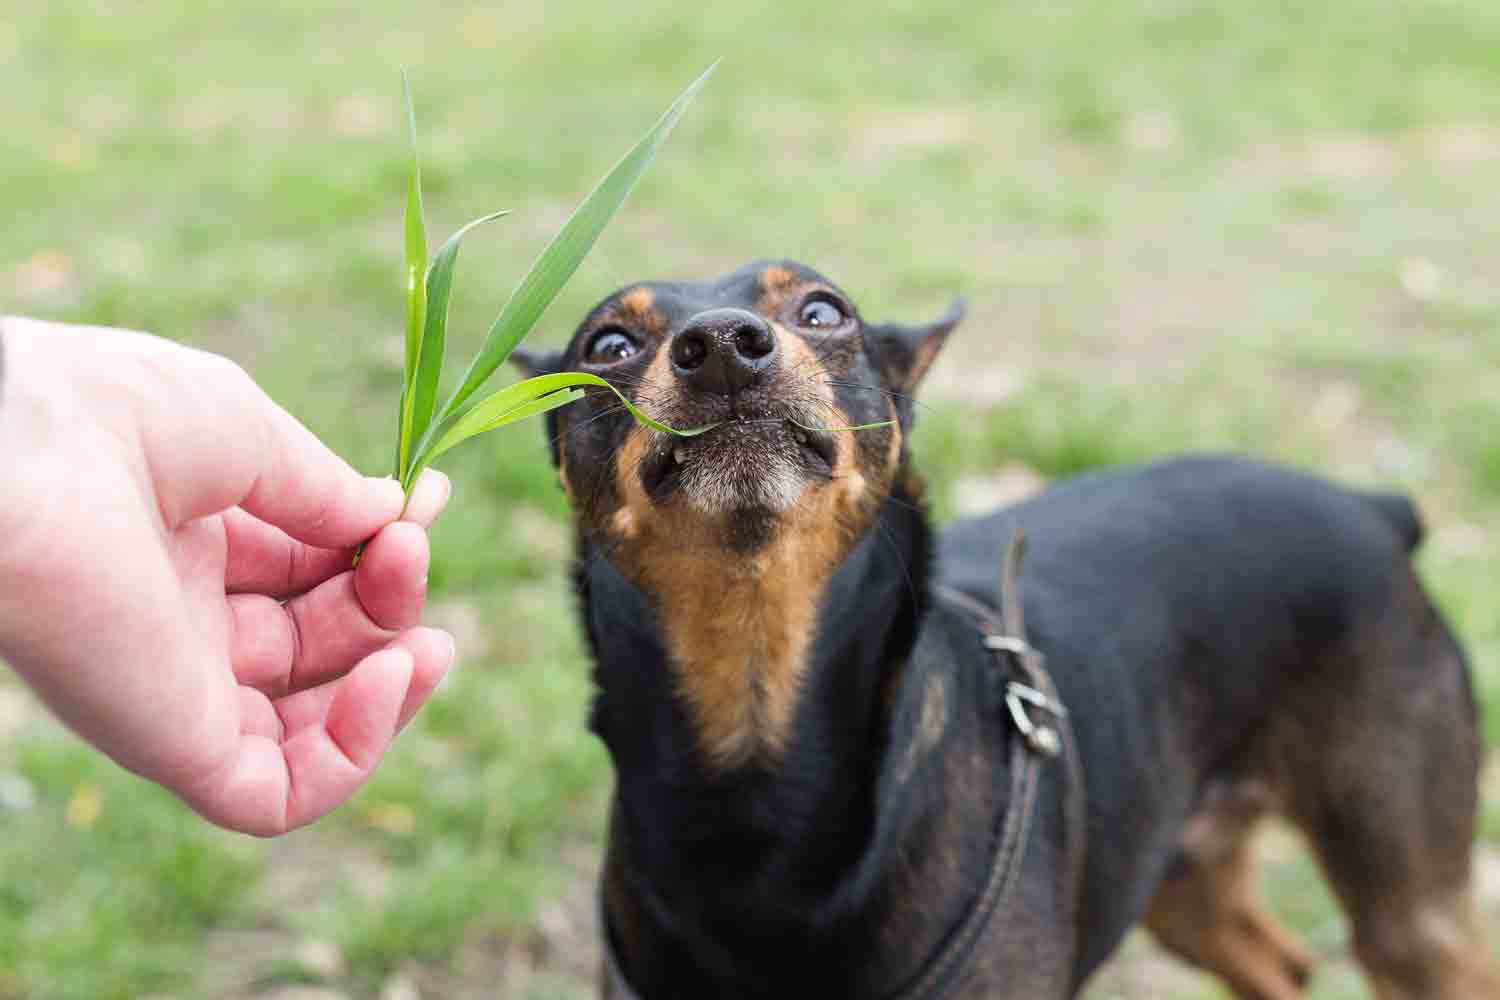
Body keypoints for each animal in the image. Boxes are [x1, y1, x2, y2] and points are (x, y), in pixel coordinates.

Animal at [513, 262, 1488, 995]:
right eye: (608, 345)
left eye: (823, 310)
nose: (721, 345)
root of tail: (1374, 509)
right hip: (1177, 873)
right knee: (1280, 965)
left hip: (1412, 914)